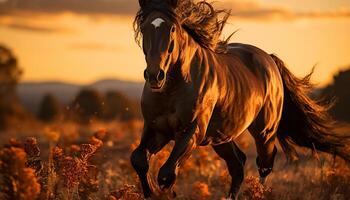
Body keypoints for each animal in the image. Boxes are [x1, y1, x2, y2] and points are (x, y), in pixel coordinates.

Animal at [130, 0, 348, 198]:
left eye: (172, 28)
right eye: (144, 27)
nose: (155, 75)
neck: (173, 88)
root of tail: (269, 59)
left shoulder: (192, 131)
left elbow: (167, 173)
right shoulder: (156, 129)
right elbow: (139, 160)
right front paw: (150, 192)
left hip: (264, 132)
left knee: (264, 164)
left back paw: (257, 192)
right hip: (221, 137)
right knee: (238, 164)